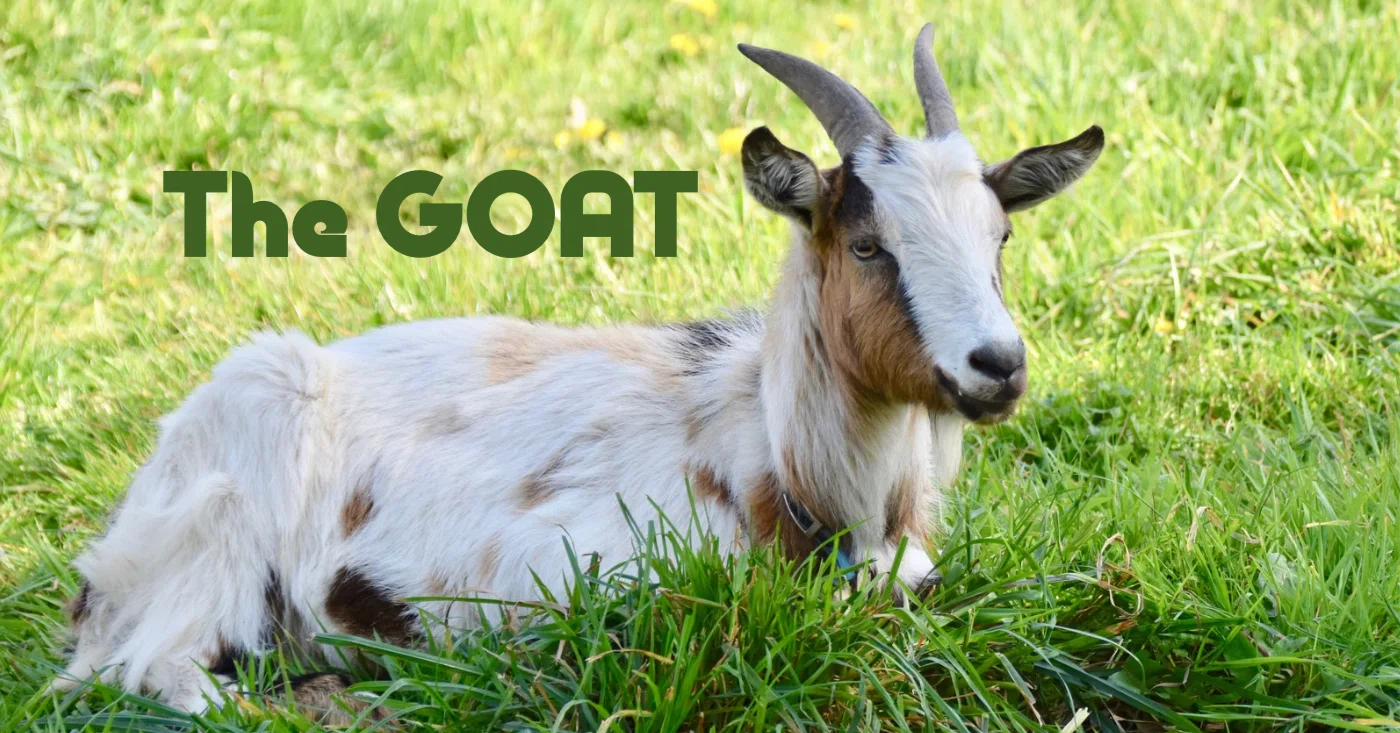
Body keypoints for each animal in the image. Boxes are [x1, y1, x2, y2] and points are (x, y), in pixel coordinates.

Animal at [53, 24, 1103, 714]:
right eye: (869, 245)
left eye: (1000, 235)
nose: (998, 365)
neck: (783, 465)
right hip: (223, 535)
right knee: (157, 670)